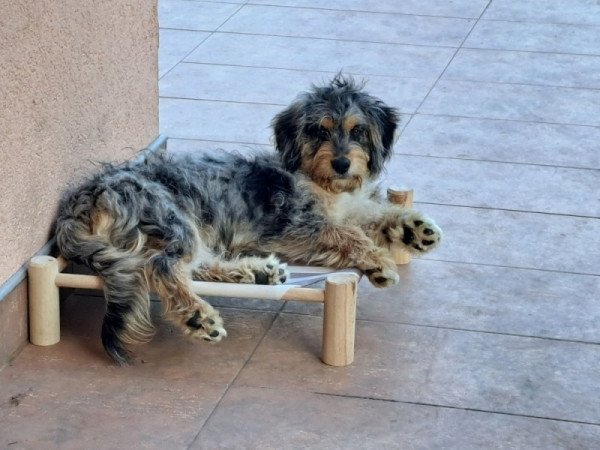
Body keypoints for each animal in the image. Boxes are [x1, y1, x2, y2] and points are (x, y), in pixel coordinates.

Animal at [55, 75, 440, 364]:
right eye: (320, 130)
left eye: (358, 130)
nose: (342, 164)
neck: (321, 182)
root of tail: (77, 205)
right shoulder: (297, 226)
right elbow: (347, 234)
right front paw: (379, 261)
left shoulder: (350, 205)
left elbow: (374, 213)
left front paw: (414, 228)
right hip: (171, 215)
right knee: (163, 267)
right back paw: (198, 316)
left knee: (194, 265)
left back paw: (255, 273)